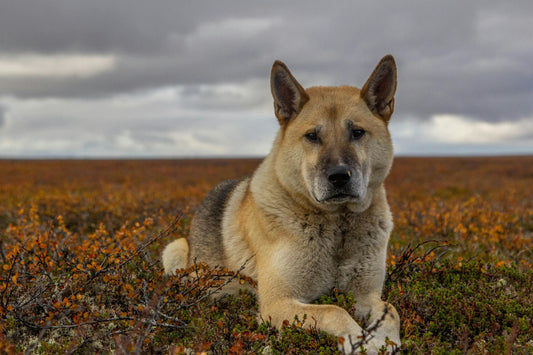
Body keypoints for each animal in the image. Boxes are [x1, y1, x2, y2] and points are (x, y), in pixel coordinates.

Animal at [162, 55, 400, 354]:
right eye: (312, 136)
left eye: (357, 132)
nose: (339, 177)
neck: (337, 226)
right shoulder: (278, 304)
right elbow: (334, 310)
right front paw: (359, 341)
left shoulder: (365, 294)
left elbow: (390, 309)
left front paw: (385, 339)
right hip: (174, 250)